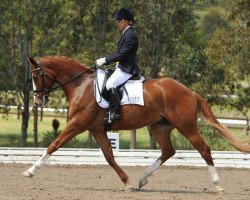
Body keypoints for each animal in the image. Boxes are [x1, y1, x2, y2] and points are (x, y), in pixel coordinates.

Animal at [23, 55, 250, 193]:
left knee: (204, 149)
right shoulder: (97, 130)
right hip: (160, 127)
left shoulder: (77, 124)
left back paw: (218, 186)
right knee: (168, 151)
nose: (37, 101)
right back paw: (142, 179)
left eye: (35, 75)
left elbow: (54, 145)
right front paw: (128, 183)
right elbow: (109, 157)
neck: (81, 86)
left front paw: (30, 171)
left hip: (186, 126)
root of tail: (190, 92)